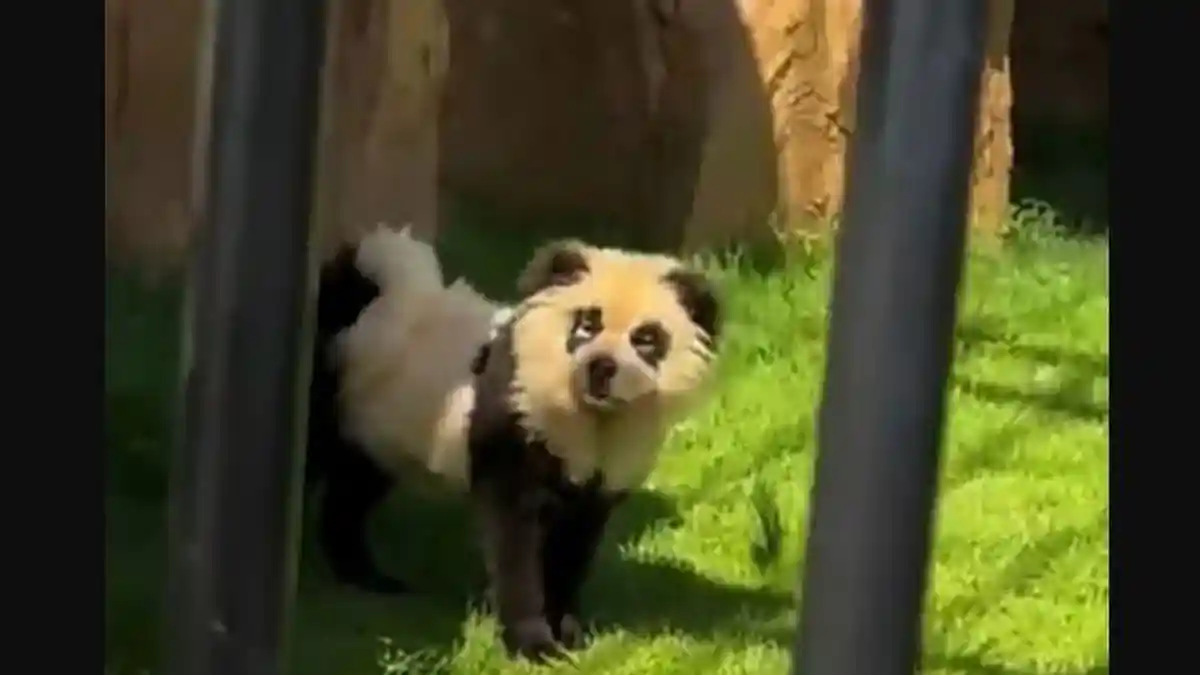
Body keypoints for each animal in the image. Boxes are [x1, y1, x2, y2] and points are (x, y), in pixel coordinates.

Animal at [305, 226, 723, 662]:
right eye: (586, 324)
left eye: (646, 338)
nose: (601, 369)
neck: (589, 417)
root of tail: (359, 292)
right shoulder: (512, 437)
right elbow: (515, 547)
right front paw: (534, 645)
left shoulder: (594, 487)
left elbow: (573, 550)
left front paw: (570, 634)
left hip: (379, 429)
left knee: (351, 495)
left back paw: (365, 575)